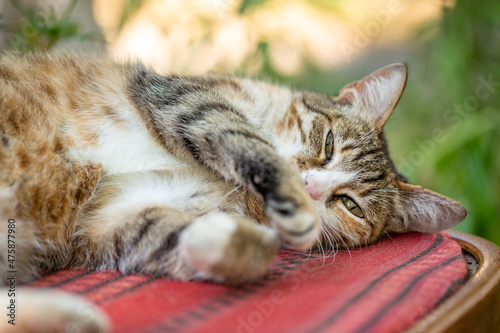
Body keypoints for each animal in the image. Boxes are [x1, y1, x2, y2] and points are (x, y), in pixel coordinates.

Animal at [0, 50, 466, 330]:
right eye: (329, 143)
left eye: (350, 204)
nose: (311, 186)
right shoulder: (186, 99)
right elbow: (245, 135)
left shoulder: (110, 218)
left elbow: (174, 235)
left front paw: (226, 240)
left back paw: (68, 316)